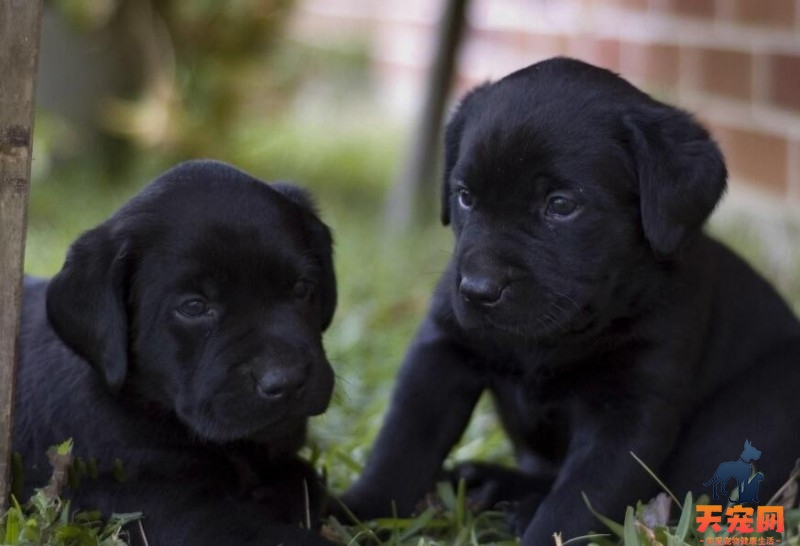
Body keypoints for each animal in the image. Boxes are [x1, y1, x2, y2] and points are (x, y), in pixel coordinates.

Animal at [340, 57, 800, 540]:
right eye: (464, 197)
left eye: (561, 205)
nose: (478, 289)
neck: (553, 339)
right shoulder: (441, 352)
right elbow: (401, 447)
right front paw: (352, 512)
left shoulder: (629, 409)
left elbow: (578, 500)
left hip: (756, 411)